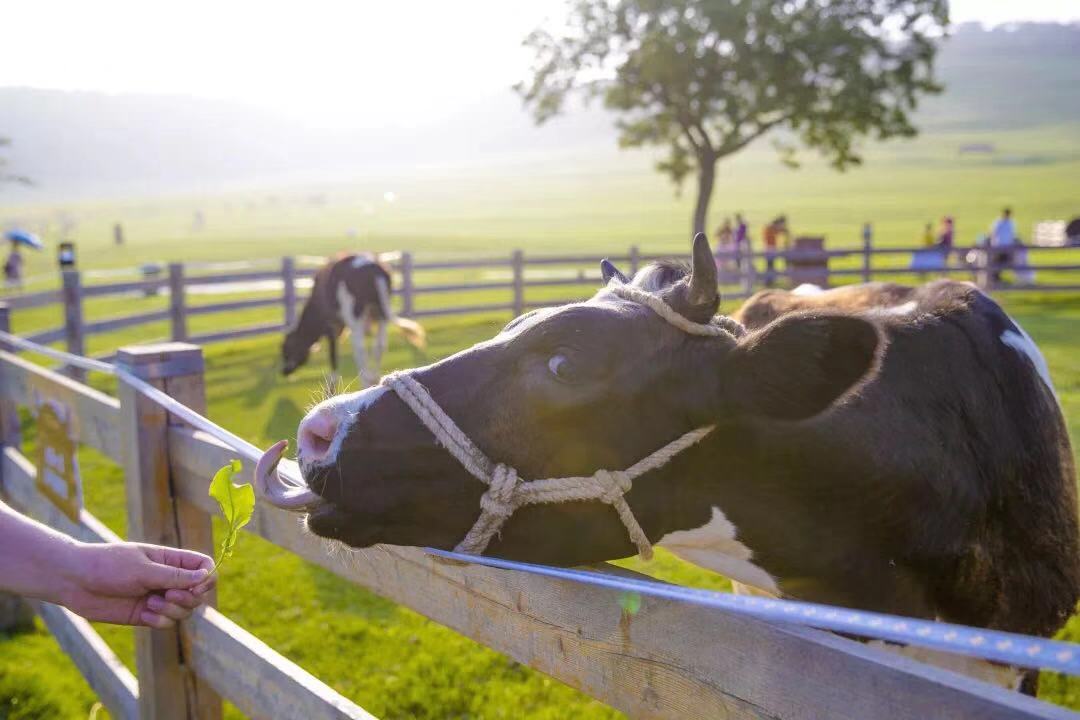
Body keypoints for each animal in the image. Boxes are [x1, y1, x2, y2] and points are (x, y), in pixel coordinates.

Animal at [278, 254, 425, 386]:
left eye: (286, 349)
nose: (284, 371)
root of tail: (372, 267)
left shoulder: (331, 325)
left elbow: (333, 354)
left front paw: (332, 384)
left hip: (355, 317)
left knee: (360, 348)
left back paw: (365, 381)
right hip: (380, 313)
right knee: (380, 346)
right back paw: (374, 378)